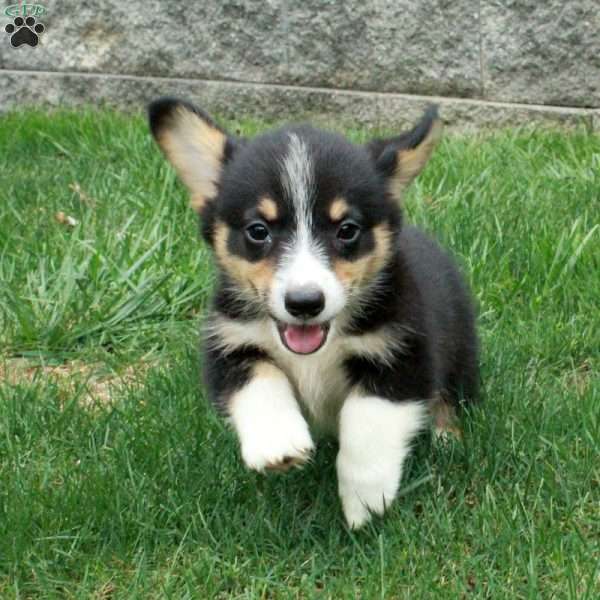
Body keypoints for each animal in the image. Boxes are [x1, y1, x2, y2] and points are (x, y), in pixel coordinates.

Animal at [149, 99, 478, 528]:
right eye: (258, 230)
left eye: (347, 229)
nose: (304, 303)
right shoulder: (231, 344)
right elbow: (259, 383)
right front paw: (278, 444)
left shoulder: (402, 355)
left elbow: (367, 421)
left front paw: (364, 499)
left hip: (461, 350)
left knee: (449, 398)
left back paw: (447, 439)